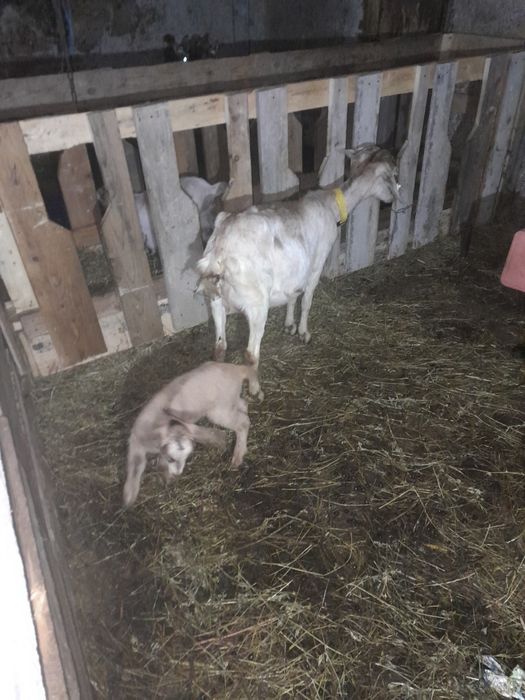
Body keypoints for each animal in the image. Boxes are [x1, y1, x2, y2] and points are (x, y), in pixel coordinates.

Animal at [123, 361, 262, 507]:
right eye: (171, 458)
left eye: (187, 458)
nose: (178, 473)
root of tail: (236, 369)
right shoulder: (136, 442)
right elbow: (135, 467)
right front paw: (129, 497)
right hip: (230, 400)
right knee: (243, 404)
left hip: (220, 408)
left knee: (243, 422)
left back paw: (238, 455)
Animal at [196, 144, 399, 366]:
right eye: (392, 175)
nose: (393, 199)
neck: (332, 206)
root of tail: (218, 253)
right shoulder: (317, 263)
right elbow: (307, 301)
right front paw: (303, 333)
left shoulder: (295, 272)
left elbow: (293, 296)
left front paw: (289, 325)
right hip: (256, 304)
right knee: (251, 354)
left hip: (215, 301)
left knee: (219, 347)